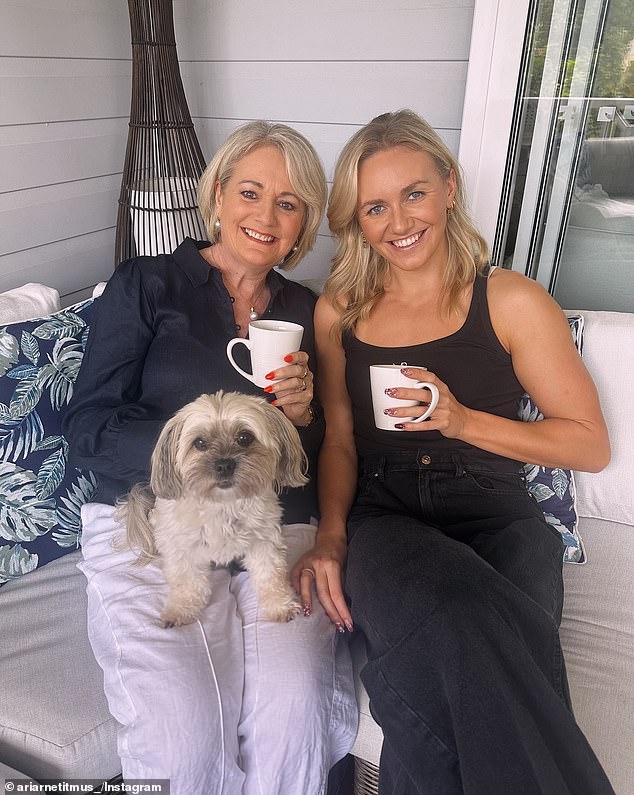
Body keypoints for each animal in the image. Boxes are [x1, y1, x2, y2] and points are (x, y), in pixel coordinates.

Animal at [118, 392, 308, 628]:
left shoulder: (264, 542)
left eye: (245, 437)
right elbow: (186, 582)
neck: (223, 504)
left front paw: (280, 605)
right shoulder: (182, 548)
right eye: (199, 443)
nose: (224, 464)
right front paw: (181, 609)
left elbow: (270, 575)